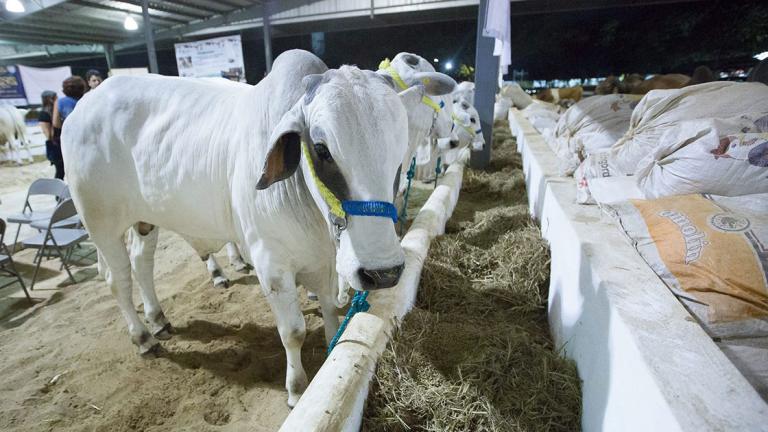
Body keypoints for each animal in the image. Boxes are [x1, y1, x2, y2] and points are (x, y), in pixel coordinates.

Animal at [63, 49, 448, 404]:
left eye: (399, 150)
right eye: (322, 149)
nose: (383, 273)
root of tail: (84, 106)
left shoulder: (325, 262)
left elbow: (329, 309)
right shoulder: (271, 265)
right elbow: (293, 331)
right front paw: (297, 388)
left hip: (145, 221)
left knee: (142, 263)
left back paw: (159, 320)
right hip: (102, 223)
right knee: (119, 280)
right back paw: (143, 336)